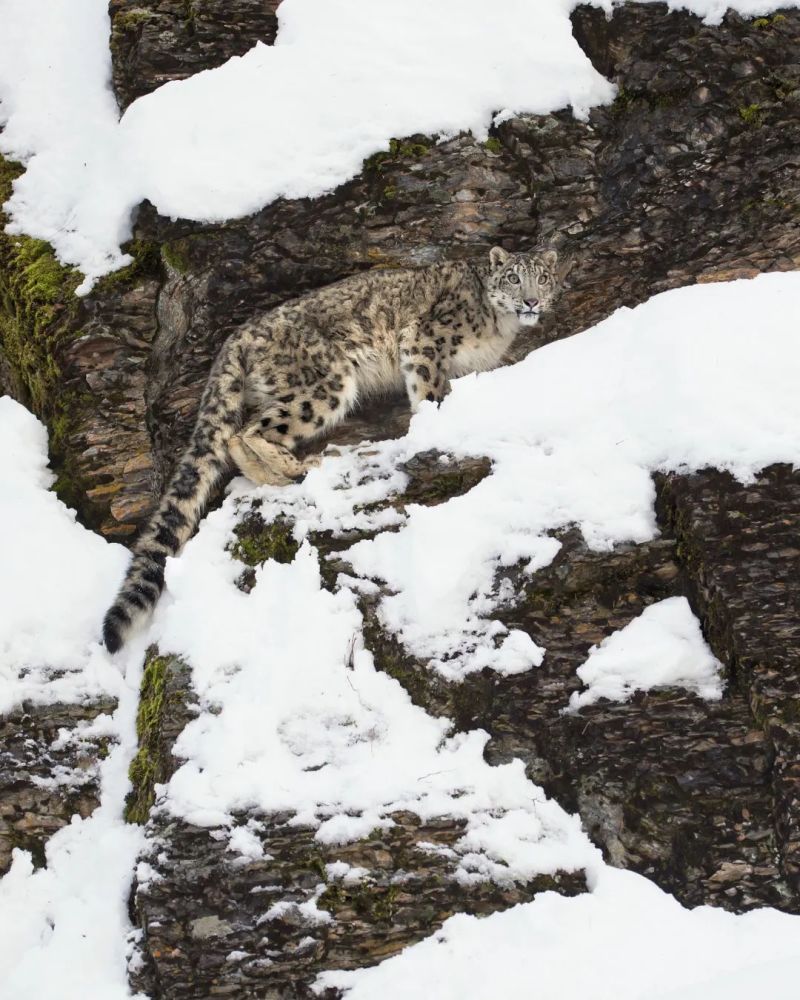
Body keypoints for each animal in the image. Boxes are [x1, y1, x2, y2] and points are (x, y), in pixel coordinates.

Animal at [103, 241, 560, 648]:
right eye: (513, 277)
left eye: (543, 277)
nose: (532, 301)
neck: (497, 327)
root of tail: (238, 338)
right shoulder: (425, 342)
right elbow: (428, 390)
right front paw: (434, 420)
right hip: (325, 383)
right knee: (244, 433)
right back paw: (295, 467)